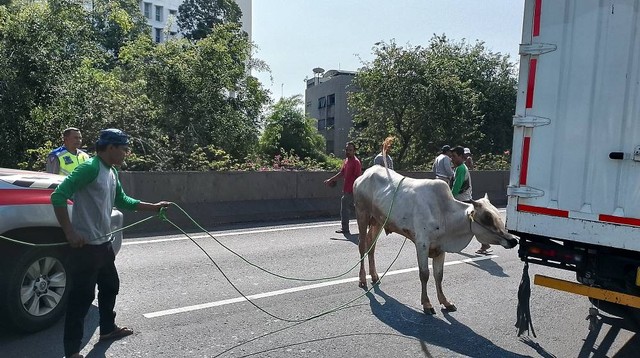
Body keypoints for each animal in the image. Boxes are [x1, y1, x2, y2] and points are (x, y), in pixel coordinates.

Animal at [352, 165, 516, 314]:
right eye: (487, 217)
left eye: (497, 215)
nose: (513, 240)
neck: (445, 214)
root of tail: (365, 174)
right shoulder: (422, 244)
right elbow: (424, 274)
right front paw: (427, 304)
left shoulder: (440, 248)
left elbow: (439, 275)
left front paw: (445, 302)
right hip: (362, 214)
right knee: (362, 245)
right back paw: (362, 279)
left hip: (378, 221)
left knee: (371, 245)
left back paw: (374, 276)